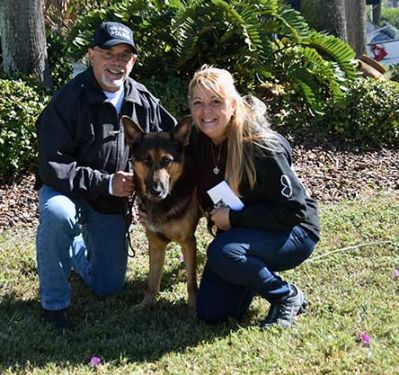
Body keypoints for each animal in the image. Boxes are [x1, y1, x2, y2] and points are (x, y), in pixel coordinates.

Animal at [121, 117, 200, 312]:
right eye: (146, 161)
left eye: (167, 161)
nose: (156, 191)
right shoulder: (156, 243)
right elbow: (152, 281)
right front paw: (145, 305)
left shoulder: (188, 242)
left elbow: (192, 282)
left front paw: (194, 308)